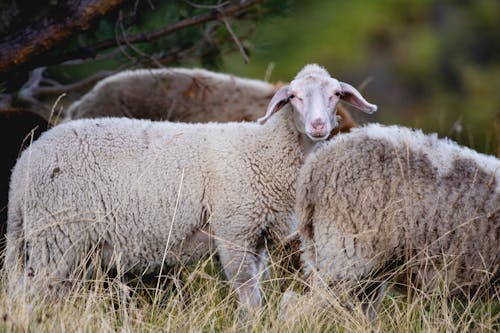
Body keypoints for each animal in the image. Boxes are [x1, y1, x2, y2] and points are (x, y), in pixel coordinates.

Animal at [4, 63, 378, 308]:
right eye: (295, 98)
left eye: (335, 95)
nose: (318, 126)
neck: (265, 147)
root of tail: (21, 171)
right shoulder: (234, 230)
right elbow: (247, 295)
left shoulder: (255, 239)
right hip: (57, 234)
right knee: (30, 293)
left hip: (68, 243)